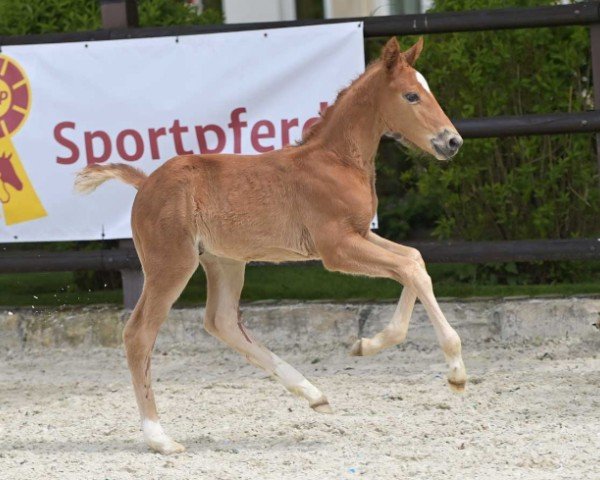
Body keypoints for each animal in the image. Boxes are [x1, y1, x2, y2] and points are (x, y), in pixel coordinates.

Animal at [75, 38, 466, 454]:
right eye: (411, 95)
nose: (452, 141)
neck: (336, 160)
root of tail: (146, 182)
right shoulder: (337, 247)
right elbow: (409, 269)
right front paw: (456, 372)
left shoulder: (359, 233)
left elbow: (414, 259)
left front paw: (367, 344)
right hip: (171, 264)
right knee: (139, 334)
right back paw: (159, 437)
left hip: (224, 261)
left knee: (222, 321)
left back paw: (313, 394)